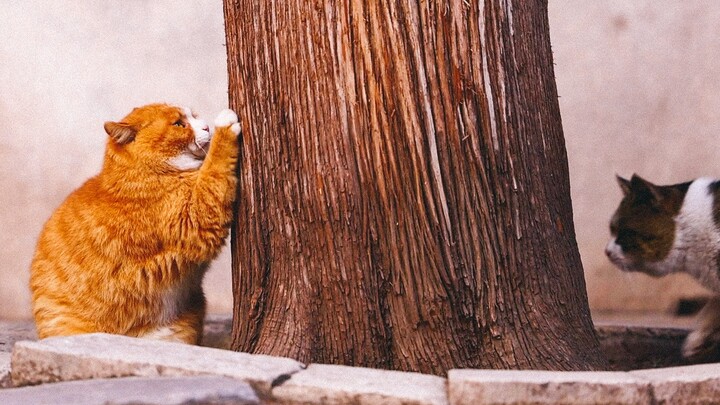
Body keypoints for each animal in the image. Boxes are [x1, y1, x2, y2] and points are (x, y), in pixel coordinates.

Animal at [30, 102, 239, 342]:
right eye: (179, 124)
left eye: (194, 116)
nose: (205, 127)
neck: (147, 173)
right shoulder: (194, 220)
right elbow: (215, 168)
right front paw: (225, 125)